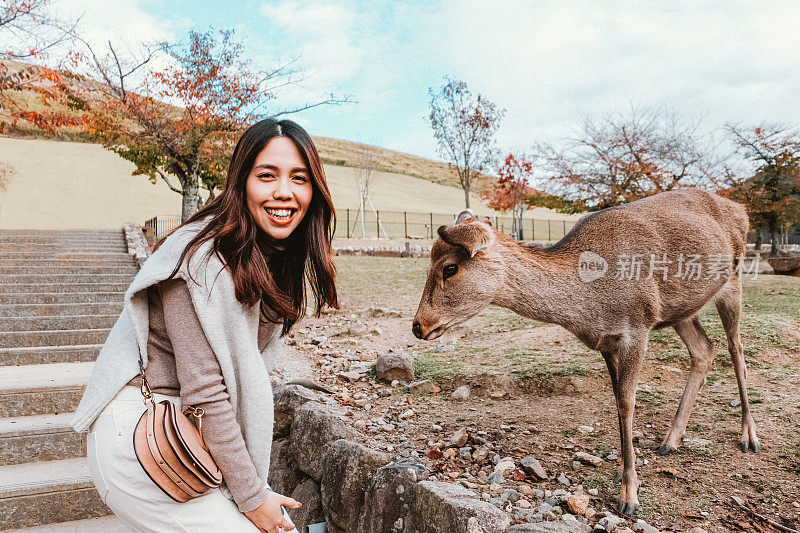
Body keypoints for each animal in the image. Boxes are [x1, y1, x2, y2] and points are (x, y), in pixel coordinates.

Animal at [416, 188, 760, 516]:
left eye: (449, 268)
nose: (418, 326)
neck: (590, 305)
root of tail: (742, 210)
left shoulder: (638, 326)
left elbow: (627, 403)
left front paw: (628, 496)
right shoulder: (606, 342)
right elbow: (617, 400)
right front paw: (624, 475)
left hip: (733, 279)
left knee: (736, 349)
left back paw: (749, 437)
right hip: (681, 310)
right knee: (704, 350)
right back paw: (670, 441)